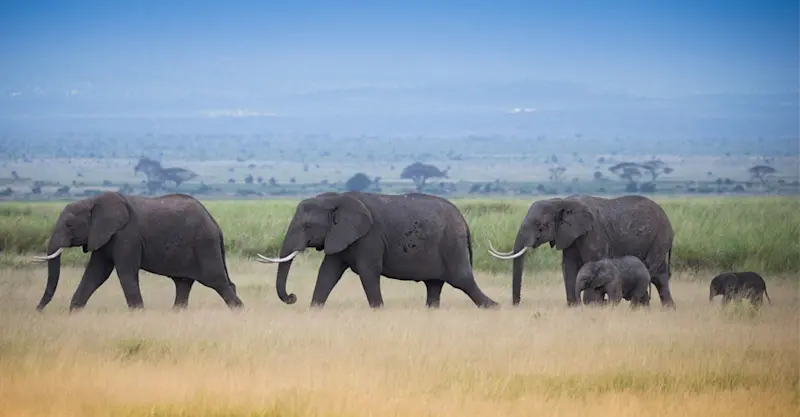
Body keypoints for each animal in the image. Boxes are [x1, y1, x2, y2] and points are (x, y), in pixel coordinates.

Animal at [31, 191, 242, 312]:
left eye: (69, 225)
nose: (38, 310)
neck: (92, 201)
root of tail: (216, 226)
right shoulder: (103, 236)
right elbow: (96, 273)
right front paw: (74, 312)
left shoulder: (127, 235)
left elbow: (125, 272)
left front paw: (138, 314)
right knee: (184, 283)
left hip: (204, 244)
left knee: (217, 281)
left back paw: (239, 312)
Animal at [255, 191, 499, 309]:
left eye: (306, 226)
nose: (292, 297)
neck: (335, 199)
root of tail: (464, 221)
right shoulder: (340, 235)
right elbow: (328, 272)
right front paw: (314, 309)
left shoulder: (369, 237)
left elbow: (368, 272)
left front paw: (378, 309)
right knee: (434, 285)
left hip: (451, 242)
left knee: (462, 280)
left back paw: (495, 307)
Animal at [487, 194, 675, 309]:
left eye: (541, 226)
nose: (516, 304)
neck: (561, 202)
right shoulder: (569, 236)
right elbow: (568, 266)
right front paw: (575, 307)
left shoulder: (593, 233)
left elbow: (594, 262)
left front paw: (593, 305)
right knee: (660, 277)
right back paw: (667, 309)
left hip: (660, 238)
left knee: (651, 270)